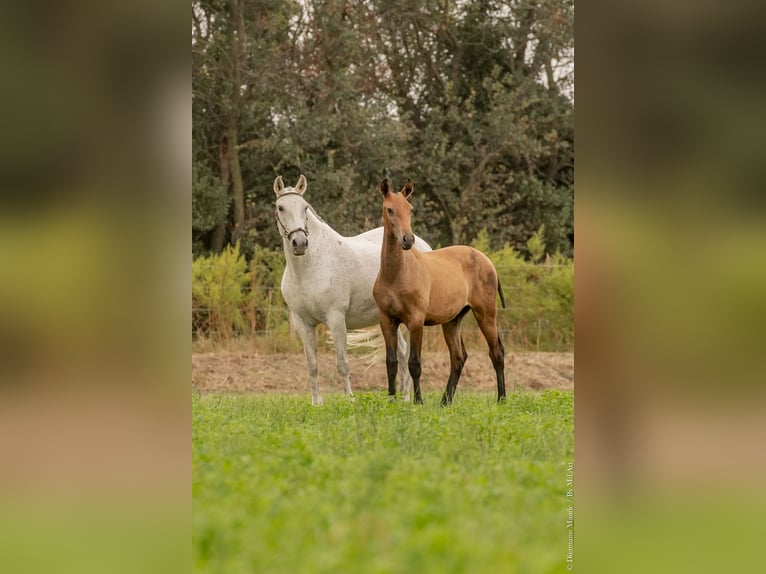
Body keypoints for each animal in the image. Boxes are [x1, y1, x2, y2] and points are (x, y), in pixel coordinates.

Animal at [274, 176, 432, 404]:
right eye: (281, 207)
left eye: (304, 208)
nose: (300, 243)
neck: (312, 265)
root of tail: (423, 246)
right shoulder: (303, 322)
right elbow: (312, 366)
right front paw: (316, 404)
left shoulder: (336, 319)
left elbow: (343, 363)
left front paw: (350, 399)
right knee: (402, 353)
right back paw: (403, 398)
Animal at [374, 178, 508, 408]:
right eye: (389, 209)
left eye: (410, 209)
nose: (407, 240)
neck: (396, 273)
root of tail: (488, 262)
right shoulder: (387, 320)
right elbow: (391, 363)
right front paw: (391, 401)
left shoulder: (416, 321)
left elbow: (414, 363)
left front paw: (418, 401)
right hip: (452, 321)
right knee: (458, 357)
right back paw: (445, 401)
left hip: (486, 314)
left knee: (496, 353)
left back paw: (501, 399)